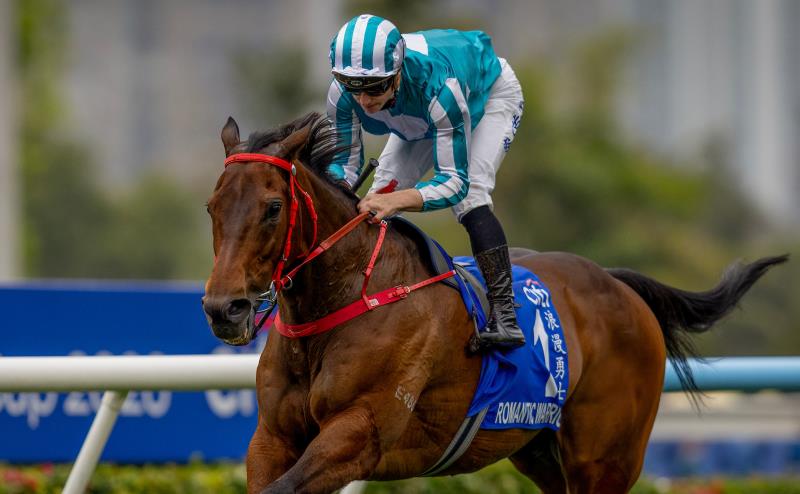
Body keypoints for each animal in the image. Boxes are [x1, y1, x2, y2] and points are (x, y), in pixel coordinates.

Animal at [201, 112, 786, 494]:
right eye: (212, 206)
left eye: (273, 207)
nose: (224, 309)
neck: (346, 300)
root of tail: (617, 283)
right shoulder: (273, 438)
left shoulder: (358, 433)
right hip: (541, 452)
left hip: (606, 459)